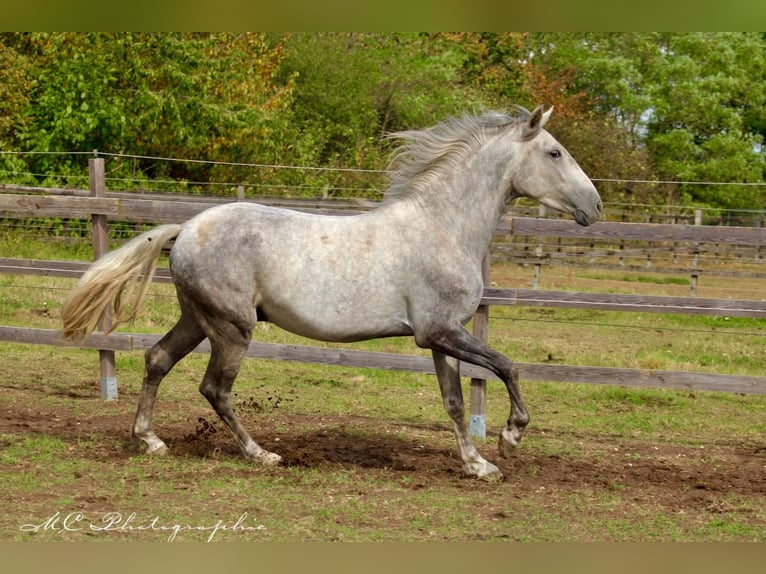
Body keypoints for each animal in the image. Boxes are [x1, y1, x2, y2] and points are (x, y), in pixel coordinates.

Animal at [63, 106, 604, 480]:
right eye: (554, 152)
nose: (595, 206)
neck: (442, 227)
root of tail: (185, 230)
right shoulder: (439, 331)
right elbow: (507, 366)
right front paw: (510, 439)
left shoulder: (441, 337)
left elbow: (453, 400)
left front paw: (477, 465)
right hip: (232, 329)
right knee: (215, 389)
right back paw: (262, 454)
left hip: (198, 319)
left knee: (157, 359)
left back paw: (150, 441)